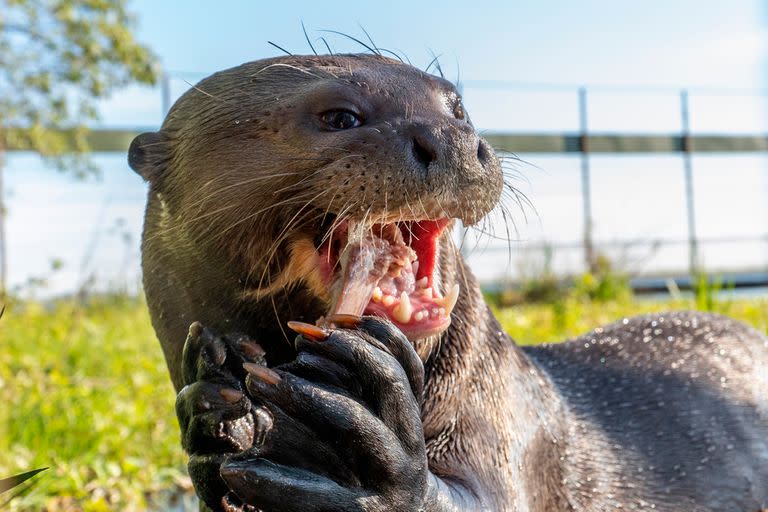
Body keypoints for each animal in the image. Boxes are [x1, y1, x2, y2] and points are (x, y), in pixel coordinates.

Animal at [127, 54, 768, 510]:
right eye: (340, 116)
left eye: (457, 107)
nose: (454, 139)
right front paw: (217, 406)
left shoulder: (508, 436)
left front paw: (364, 449)